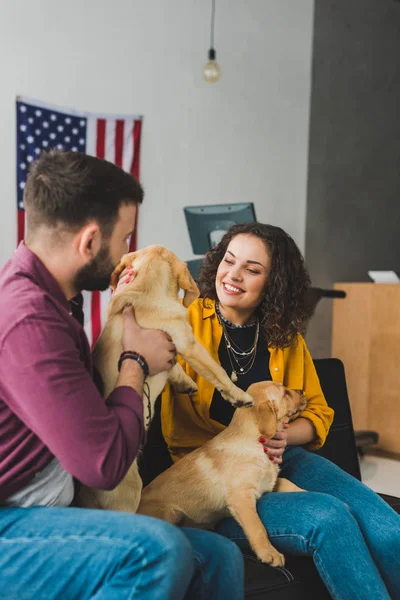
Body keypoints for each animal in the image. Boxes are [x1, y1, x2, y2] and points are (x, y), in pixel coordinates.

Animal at [137, 382, 306, 568]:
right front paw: (269, 552)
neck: (255, 444)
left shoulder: (269, 483)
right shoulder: (241, 497)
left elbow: (288, 482)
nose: (302, 391)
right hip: (170, 512)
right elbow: (257, 527)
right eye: (285, 393)